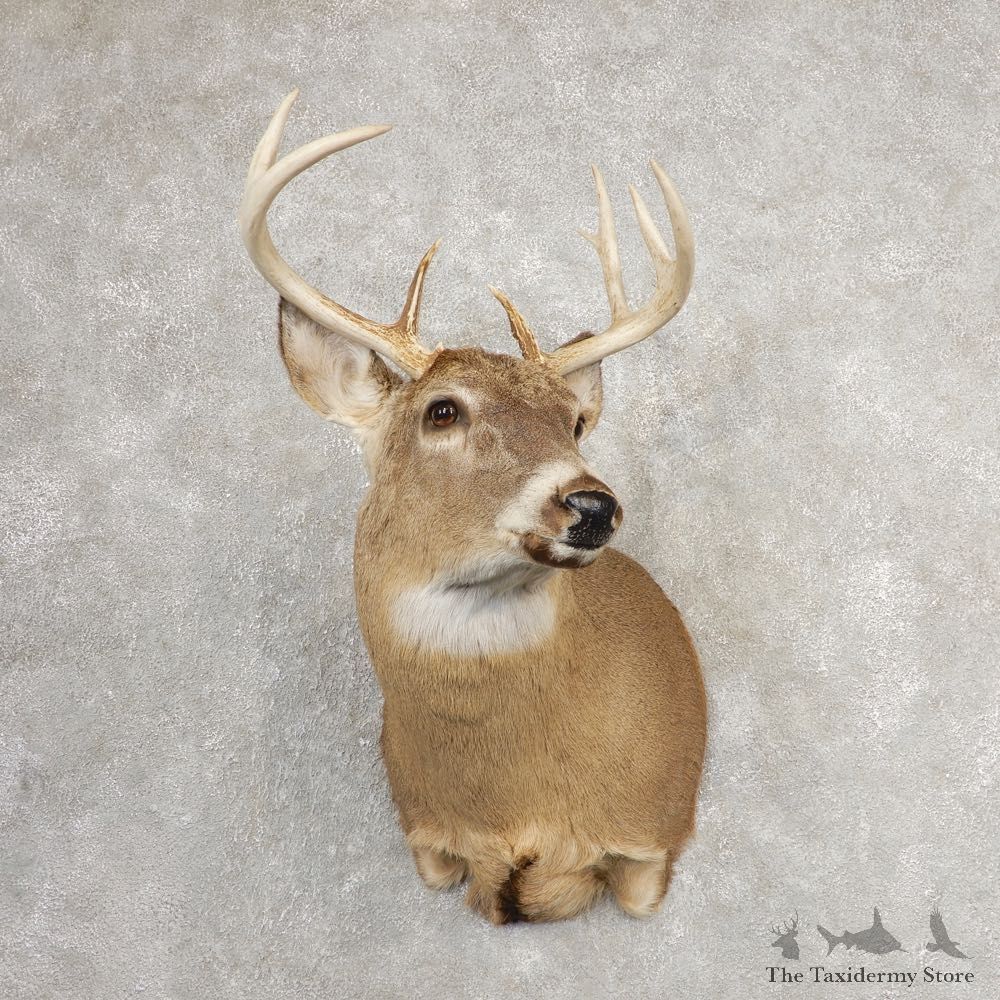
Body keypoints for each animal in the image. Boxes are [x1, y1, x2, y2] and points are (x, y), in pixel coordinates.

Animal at [239, 90, 707, 924]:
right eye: (443, 411)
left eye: (574, 421)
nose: (591, 504)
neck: (518, 810)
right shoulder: (423, 835)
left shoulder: (653, 834)